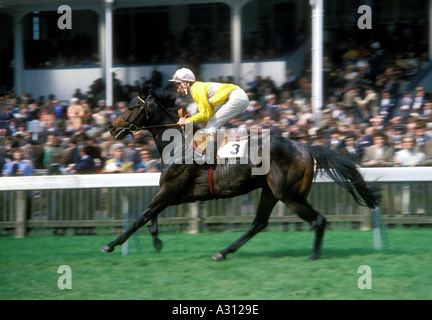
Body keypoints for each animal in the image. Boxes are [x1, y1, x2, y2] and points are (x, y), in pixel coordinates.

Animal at [100, 85, 378, 260]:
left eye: (131, 106)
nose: (112, 128)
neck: (178, 143)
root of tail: (306, 147)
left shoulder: (170, 191)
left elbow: (141, 217)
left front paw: (111, 244)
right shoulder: (175, 194)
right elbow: (151, 216)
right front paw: (157, 240)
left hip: (288, 194)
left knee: (318, 220)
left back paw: (314, 256)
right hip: (270, 191)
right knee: (258, 223)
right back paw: (222, 252)